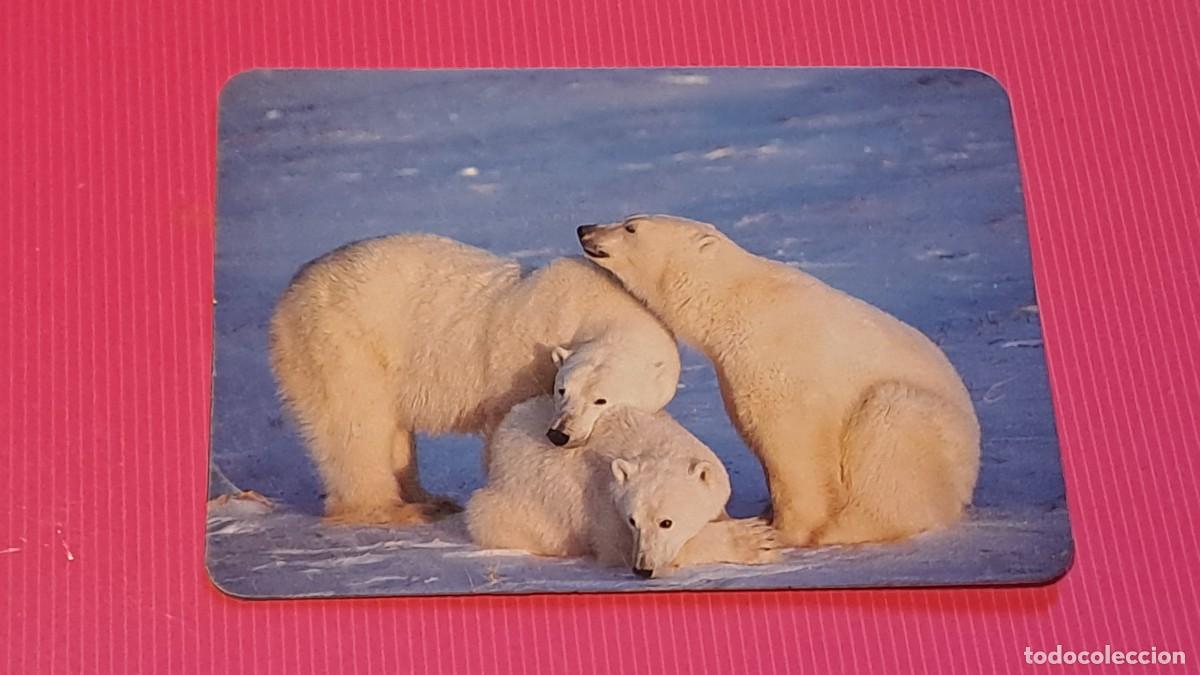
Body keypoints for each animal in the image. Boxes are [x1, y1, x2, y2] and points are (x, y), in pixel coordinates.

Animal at [268, 234, 681, 526]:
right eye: (562, 390)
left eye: (601, 400)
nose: (559, 434)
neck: (598, 309)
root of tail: (291, 291)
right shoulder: (522, 361)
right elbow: (506, 423)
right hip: (340, 342)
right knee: (356, 424)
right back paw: (394, 509)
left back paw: (428, 498)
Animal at [465, 396, 781, 577]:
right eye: (632, 521)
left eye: (666, 522)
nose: (642, 569)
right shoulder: (599, 499)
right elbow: (614, 545)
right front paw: (757, 539)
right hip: (509, 506)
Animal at [577, 214, 981, 547]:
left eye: (631, 226)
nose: (585, 229)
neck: (736, 302)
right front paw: (766, 512)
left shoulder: (780, 357)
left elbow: (792, 445)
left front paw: (781, 530)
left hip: (924, 430)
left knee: (890, 430)